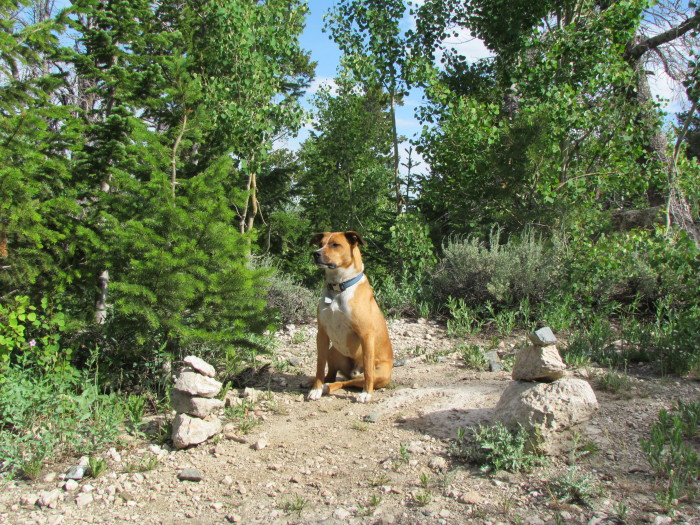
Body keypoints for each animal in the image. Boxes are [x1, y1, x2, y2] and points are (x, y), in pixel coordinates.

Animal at [308, 229, 394, 402]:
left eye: (335, 244)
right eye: (320, 244)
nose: (316, 253)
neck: (338, 289)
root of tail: (353, 371)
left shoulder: (366, 335)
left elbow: (367, 370)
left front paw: (367, 393)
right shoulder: (322, 334)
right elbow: (319, 365)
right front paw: (316, 389)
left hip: (379, 372)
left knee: (349, 381)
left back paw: (329, 387)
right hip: (333, 351)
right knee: (332, 375)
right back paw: (318, 384)